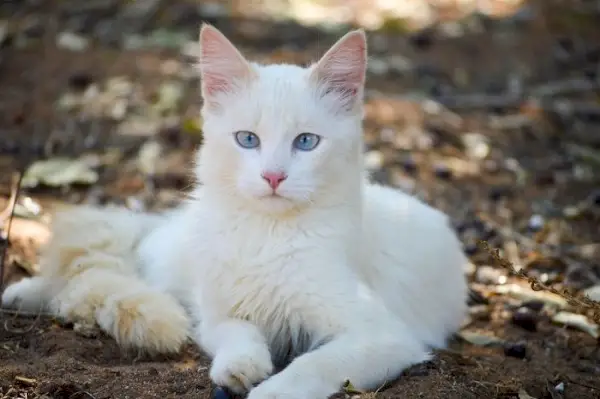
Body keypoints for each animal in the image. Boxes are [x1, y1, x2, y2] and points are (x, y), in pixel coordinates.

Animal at [1, 25, 468, 399]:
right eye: (247, 139)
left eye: (306, 142)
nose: (273, 176)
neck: (267, 236)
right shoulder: (219, 314)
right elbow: (238, 335)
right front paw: (240, 369)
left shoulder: (383, 335)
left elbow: (315, 364)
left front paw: (270, 391)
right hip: (170, 262)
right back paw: (23, 293)